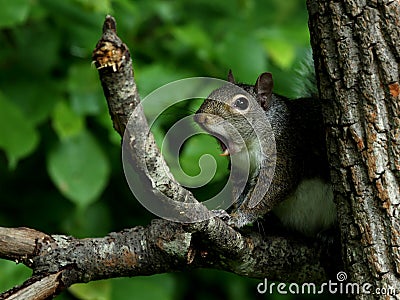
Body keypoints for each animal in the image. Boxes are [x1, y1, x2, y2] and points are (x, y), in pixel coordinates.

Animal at [195, 70, 336, 237]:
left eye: (241, 103)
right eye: (213, 92)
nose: (199, 116)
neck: (249, 148)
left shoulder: (283, 155)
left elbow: (271, 188)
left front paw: (237, 218)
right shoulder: (241, 169)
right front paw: (227, 213)